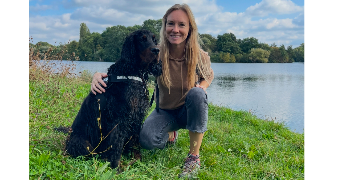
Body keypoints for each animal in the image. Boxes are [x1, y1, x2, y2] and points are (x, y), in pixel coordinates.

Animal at [64, 29, 163, 169]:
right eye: (142, 39)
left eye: (154, 39)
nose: (156, 50)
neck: (132, 73)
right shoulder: (119, 118)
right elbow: (116, 144)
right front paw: (116, 167)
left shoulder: (136, 116)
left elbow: (135, 139)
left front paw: (137, 159)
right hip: (80, 141)